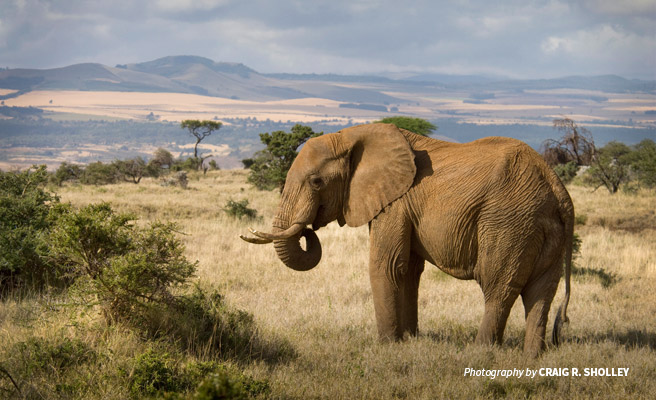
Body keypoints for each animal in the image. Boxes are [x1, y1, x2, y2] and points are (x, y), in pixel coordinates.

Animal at [241, 123, 573, 357]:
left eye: (316, 182)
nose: (308, 228)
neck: (352, 135)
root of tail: (557, 188)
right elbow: (410, 271)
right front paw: (411, 339)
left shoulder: (395, 203)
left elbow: (386, 265)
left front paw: (388, 345)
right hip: (541, 229)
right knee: (542, 293)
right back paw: (532, 358)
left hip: (508, 223)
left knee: (497, 287)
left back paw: (481, 352)